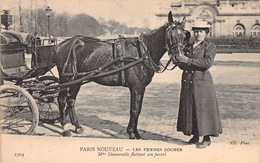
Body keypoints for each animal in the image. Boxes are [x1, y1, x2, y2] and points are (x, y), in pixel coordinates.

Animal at [52, 11, 189, 138]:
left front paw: (135, 132)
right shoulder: (135, 87)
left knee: (71, 100)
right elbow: (134, 109)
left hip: (77, 80)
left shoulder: (141, 88)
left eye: (183, 36)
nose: (178, 57)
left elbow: (138, 109)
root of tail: (61, 45)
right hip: (66, 79)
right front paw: (132, 133)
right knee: (62, 100)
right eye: (170, 35)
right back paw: (65, 128)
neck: (142, 53)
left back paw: (77, 126)